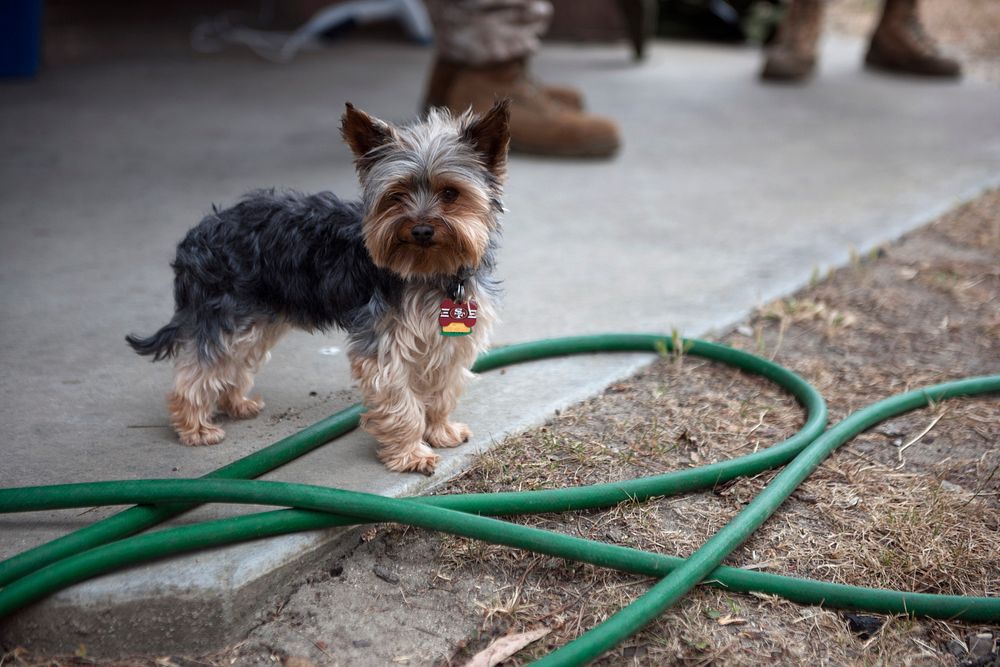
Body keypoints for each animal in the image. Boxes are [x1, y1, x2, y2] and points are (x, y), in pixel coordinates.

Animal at [126, 100, 512, 474]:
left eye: (450, 193)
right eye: (397, 194)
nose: (420, 230)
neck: (432, 273)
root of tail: (198, 234)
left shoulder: (449, 343)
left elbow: (442, 390)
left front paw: (440, 431)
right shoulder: (385, 346)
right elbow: (402, 403)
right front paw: (410, 454)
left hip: (255, 320)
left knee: (233, 361)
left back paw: (237, 404)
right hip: (225, 313)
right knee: (199, 370)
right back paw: (195, 428)